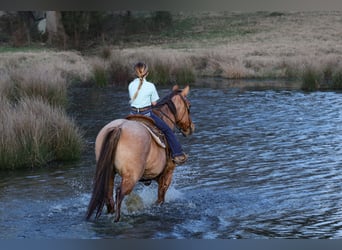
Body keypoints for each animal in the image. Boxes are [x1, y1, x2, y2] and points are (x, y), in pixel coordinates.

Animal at [85, 85, 195, 222]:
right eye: (189, 106)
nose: (191, 128)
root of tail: (119, 127)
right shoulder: (167, 174)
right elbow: (160, 199)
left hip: (109, 173)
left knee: (109, 195)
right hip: (131, 176)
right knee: (120, 193)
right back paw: (117, 219)